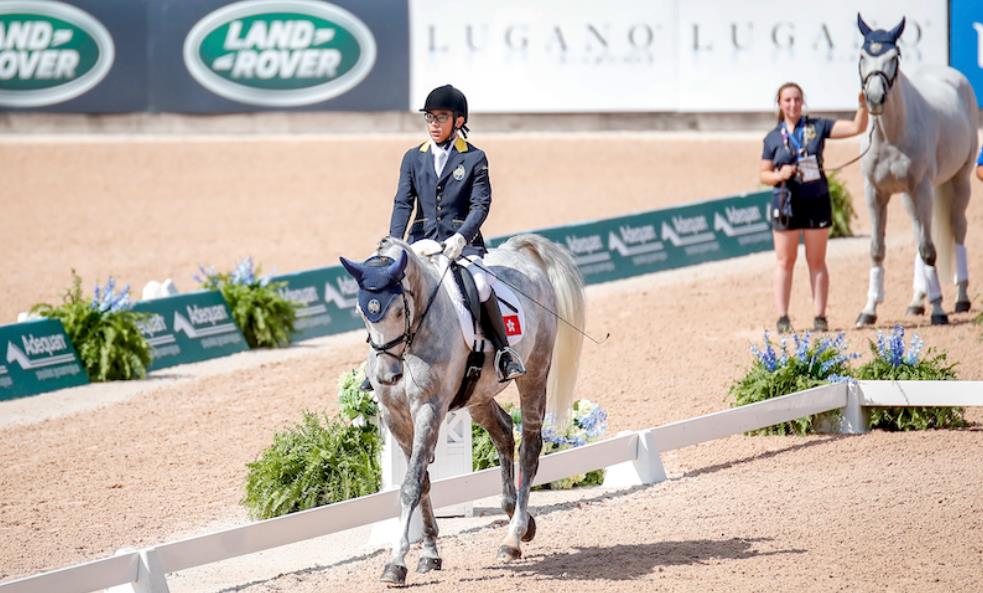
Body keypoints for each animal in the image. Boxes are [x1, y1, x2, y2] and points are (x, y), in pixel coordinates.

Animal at [342, 234, 584, 584]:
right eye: (362, 312)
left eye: (399, 311)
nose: (388, 375)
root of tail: (518, 254)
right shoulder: (395, 417)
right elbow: (423, 481)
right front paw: (430, 554)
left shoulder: (429, 409)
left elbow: (411, 485)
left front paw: (396, 563)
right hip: (477, 396)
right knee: (504, 431)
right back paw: (520, 519)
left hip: (535, 374)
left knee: (529, 448)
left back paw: (513, 538)